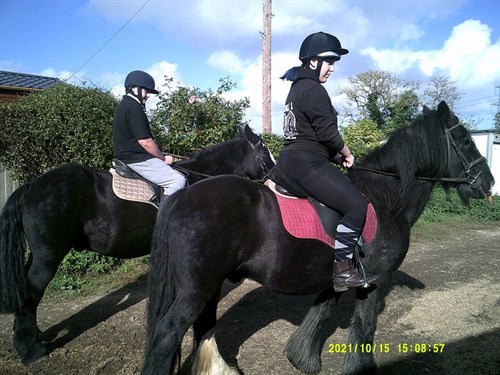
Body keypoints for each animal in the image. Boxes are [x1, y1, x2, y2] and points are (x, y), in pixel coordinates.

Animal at [0, 125, 274, 366]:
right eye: (264, 153)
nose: (274, 180)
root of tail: (32, 186)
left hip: (39, 255)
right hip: (48, 256)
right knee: (32, 290)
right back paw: (31, 350)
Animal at [143, 101, 494, 374]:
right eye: (464, 140)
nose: (489, 182)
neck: (385, 200)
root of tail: (185, 193)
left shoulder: (336, 277)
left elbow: (320, 314)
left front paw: (303, 359)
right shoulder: (376, 279)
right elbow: (365, 327)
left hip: (211, 284)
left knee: (203, 325)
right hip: (197, 288)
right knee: (168, 334)